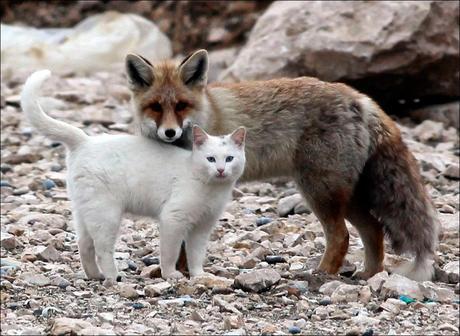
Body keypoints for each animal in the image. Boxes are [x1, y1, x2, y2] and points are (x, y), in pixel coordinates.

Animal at [21, 70, 246, 284]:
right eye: (210, 159)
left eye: (229, 158)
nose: (220, 170)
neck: (211, 188)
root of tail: (85, 141)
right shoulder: (173, 219)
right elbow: (170, 253)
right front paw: (170, 274)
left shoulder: (202, 228)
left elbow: (196, 255)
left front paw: (199, 276)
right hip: (106, 215)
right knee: (102, 249)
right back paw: (113, 277)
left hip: (85, 212)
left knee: (84, 245)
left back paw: (95, 276)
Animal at [124, 50, 440, 280]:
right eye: (155, 107)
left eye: (181, 106)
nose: (169, 132)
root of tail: (360, 98)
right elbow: (181, 241)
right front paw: (179, 270)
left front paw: (179, 272)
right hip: (347, 197)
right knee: (373, 230)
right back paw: (369, 275)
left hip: (319, 191)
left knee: (341, 236)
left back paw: (322, 274)